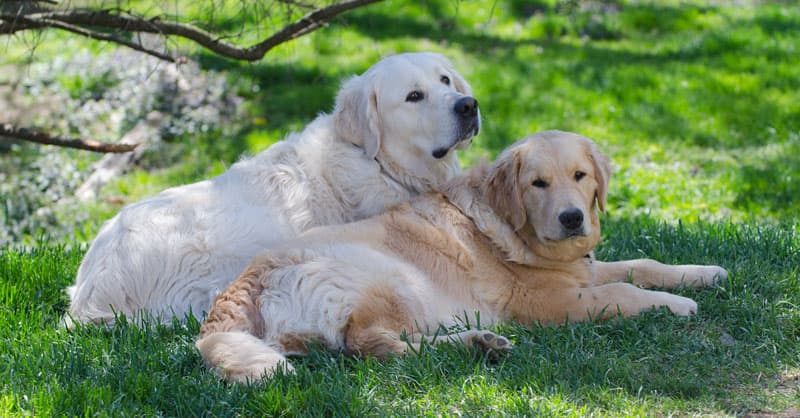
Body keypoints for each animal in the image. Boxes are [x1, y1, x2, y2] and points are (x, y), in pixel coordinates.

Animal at [195, 130, 724, 382]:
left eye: (581, 176)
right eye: (538, 184)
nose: (573, 218)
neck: (513, 229)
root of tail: (242, 282)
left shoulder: (580, 269)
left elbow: (642, 265)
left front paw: (704, 272)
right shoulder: (550, 302)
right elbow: (624, 289)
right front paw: (676, 305)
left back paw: (481, 343)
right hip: (390, 279)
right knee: (373, 347)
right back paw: (476, 346)